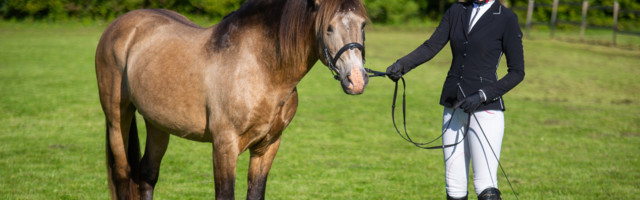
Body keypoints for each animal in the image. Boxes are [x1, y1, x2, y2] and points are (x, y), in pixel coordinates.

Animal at [92, 0, 368, 198]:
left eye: (363, 25)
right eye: (328, 27)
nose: (356, 79)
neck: (260, 68)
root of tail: (121, 26)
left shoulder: (267, 146)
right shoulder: (225, 145)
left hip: (158, 123)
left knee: (147, 175)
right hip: (117, 117)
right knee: (122, 174)